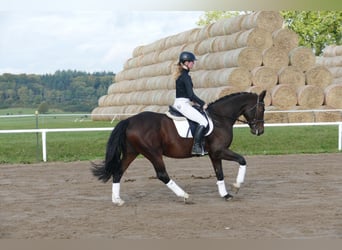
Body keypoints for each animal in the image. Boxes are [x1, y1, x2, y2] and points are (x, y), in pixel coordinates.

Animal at [91, 90, 268, 205]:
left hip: (131, 152)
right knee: (162, 174)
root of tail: (129, 120)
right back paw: (184, 195)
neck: (220, 118)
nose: (259, 131)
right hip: (153, 153)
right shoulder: (220, 151)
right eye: (262, 108)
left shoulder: (214, 154)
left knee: (118, 172)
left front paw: (225, 194)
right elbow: (242, 160)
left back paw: (117, 200)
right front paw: (237, 186)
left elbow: (219, 173)